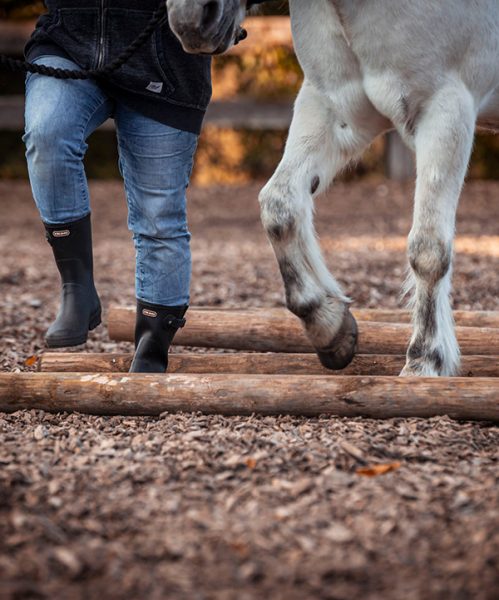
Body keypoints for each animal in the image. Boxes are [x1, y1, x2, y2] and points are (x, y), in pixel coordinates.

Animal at [167, 0, 499, 376]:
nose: (190, 22)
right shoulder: (336, 107)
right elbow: (279, 207)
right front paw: (329, 324)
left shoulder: (446, 107)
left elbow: (428, 249)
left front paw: (425, 360)